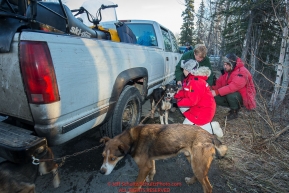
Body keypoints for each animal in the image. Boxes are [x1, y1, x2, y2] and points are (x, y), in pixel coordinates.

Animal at [99, 123, 227, 193]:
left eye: (112, 158)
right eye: (103, 156)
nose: (101, 172)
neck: (132, 139)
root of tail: (210, 136)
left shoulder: (144, 166)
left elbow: (136, 184)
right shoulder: (149, 161)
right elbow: (152, 170)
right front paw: (150, 179)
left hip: (198, 164)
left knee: (208, 187)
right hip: (193, 160)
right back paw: (190, 181)